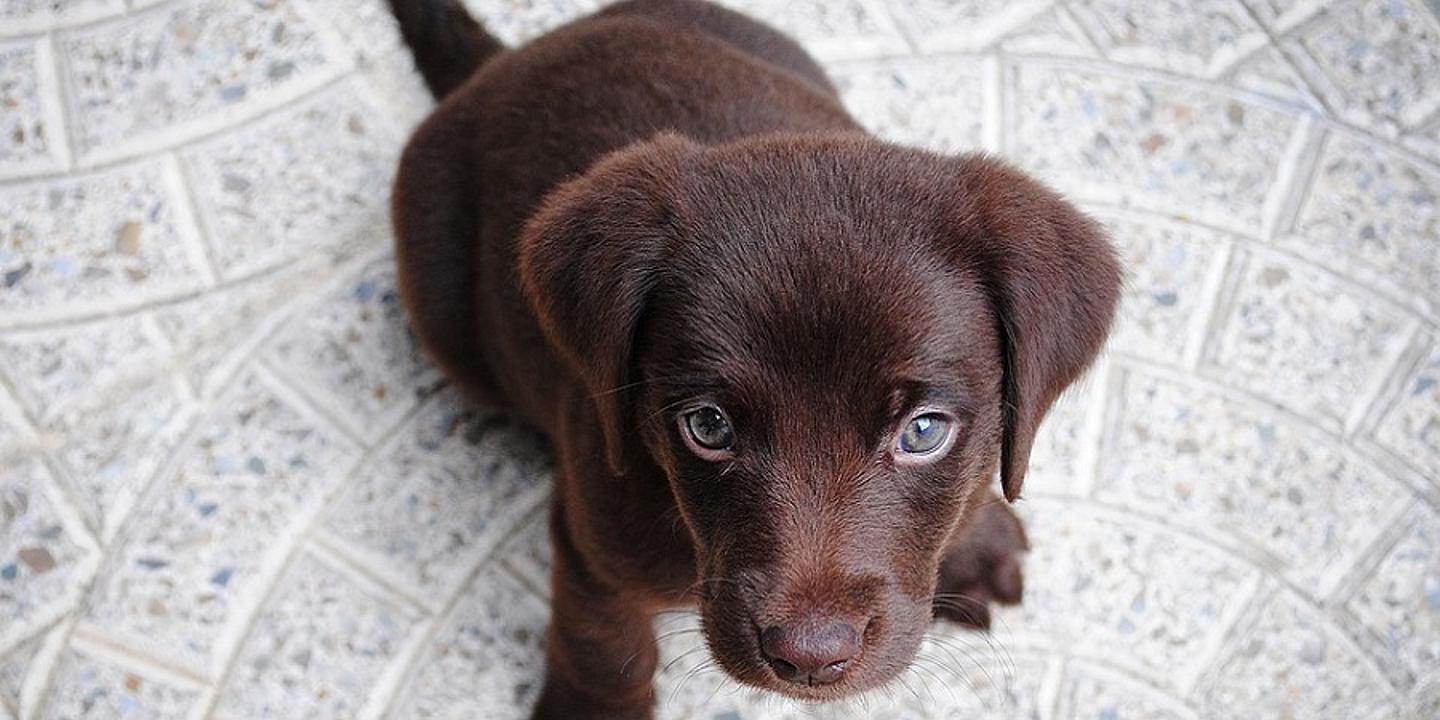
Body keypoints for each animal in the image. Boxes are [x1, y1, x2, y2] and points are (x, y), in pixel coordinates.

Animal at [385, 1, 1123, 714]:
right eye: (708, 427)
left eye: (923, 432)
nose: (810, 657)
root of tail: (505, 61)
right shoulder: (593, 540)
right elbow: (604, 642)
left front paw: (975, 536)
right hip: (445, 310)